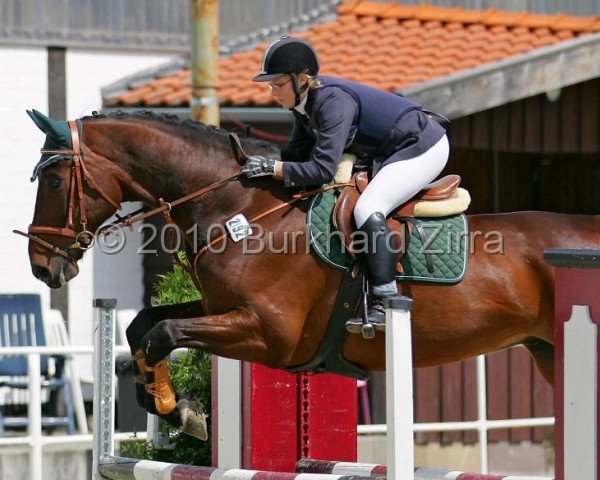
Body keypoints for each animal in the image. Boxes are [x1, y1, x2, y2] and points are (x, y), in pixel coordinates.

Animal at [19, 109, 596, 438]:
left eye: (53, 179)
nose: (41, 267)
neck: (242, 208)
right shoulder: (221, 309)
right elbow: (144, 325)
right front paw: (171, 405)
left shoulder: (268, 333)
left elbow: (163, 331)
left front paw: (181, 412)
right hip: (547, 352)